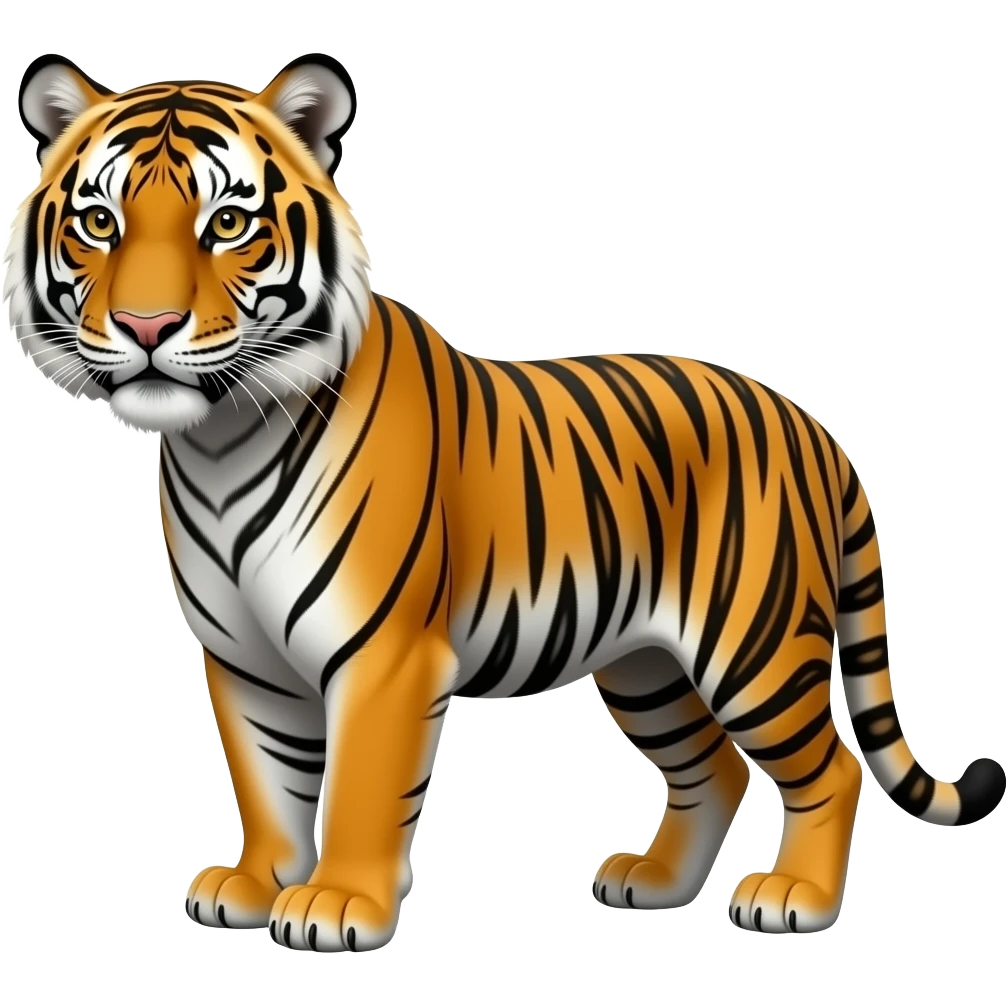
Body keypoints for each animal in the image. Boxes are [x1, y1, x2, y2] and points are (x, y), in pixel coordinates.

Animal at [5, 51, 1004, 954]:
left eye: (226, 223)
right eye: (98, 220)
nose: (145, 327)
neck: (218, 440)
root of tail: (812, 425)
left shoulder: (384, 656)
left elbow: (358, 788)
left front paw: (338, 906)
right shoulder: (244, 660)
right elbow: (266, 780)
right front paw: (254, 885)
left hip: (752, 643)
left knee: (829, 766)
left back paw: (795, 898)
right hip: (647, 665)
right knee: (711, 767)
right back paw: (653, 882)